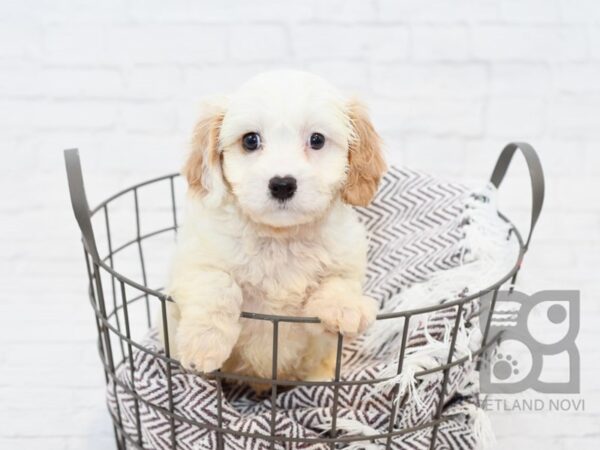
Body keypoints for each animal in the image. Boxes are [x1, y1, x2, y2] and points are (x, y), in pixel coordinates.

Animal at [164, 70, 386, 386]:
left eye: (317, 139)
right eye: (250, 140)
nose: (282, 184)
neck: (280, 238)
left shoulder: (346, 260)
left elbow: (339, 282)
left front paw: (344, 309)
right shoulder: (192, 262)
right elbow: (219, 285)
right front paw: (203, 344)